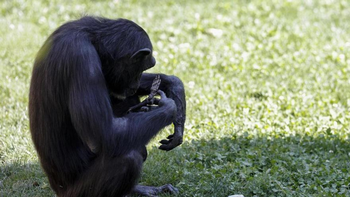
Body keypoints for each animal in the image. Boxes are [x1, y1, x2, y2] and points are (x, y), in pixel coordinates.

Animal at [28, 16, 186, 196]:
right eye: (141, 67)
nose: (136, 82)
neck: (92, 38)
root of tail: (56, 188)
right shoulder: (82, 61)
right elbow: (106, 133)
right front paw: (169, 107)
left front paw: (175, 89)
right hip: (76, 192)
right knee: (128, 159)